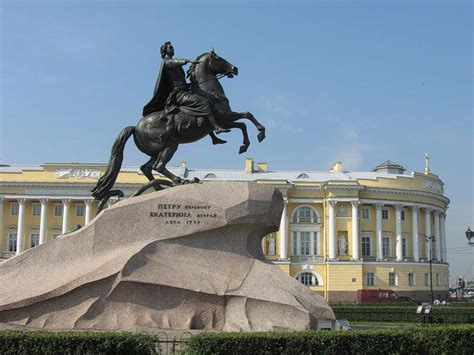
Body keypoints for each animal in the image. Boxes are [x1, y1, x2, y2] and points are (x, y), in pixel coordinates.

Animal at [90, 49, 264, 206]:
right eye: (218, 58)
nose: (235, 68)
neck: (209, 92)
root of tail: (135, 127)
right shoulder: (225, 117)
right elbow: (247, 117)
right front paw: (258, 135)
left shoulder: (226, 120)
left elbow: (243, 123)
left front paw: (244, 143)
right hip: (170, 146)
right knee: (158, 166)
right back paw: (180, 181)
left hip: (156, 151)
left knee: (146, 168)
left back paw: (160, 188)